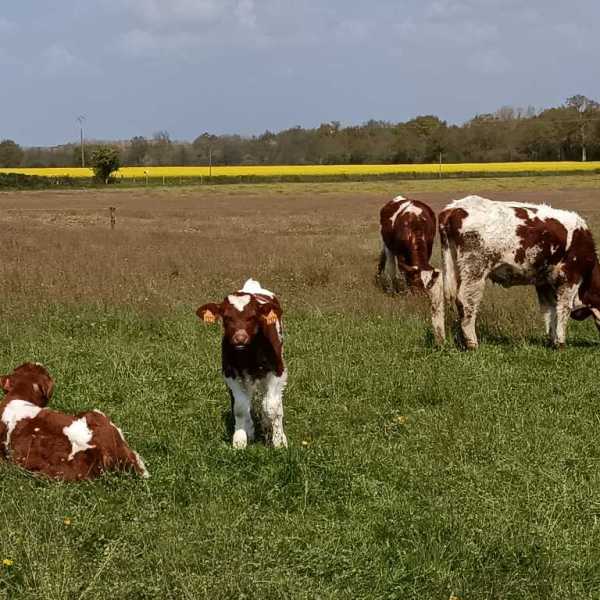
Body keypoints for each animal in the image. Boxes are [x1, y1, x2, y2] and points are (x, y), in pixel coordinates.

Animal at [197, 278, 288, 448]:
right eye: (226, 317)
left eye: (253, 316)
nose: (240, 338)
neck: (249, 355)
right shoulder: (230, 373)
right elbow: (240, 407)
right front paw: (240, 440)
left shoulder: (277, 372)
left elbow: (272, 407)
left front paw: (278, 441)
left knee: (272, 402)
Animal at [380, 197, 446, 344]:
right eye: (415, 284)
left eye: (429, 285)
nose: (420, 299)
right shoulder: (400, 254)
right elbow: (403, 273)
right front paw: (406, 293)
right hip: (388, 247)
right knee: (391, 269)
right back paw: (392, 289)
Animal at [438, 195, 600, 350]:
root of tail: (453, 208)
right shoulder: (571, 277)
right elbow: (563, 309)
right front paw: (560, 343)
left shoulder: (544, 283)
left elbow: (550, 311)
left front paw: (552, 341)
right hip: (475, 269)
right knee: (466, 302)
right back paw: (472, 344)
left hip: (455, 268)